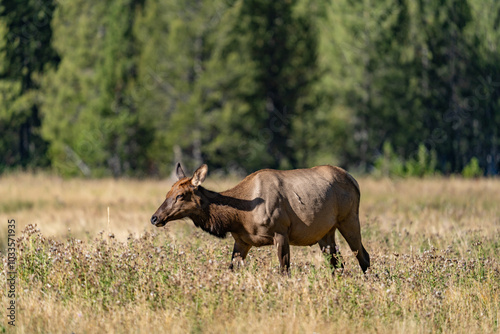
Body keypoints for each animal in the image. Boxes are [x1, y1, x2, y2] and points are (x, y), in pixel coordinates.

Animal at [150, 162, 370, 274]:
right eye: (168, 192)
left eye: (180, 195)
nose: (155, 217)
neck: (238, 217)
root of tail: (354, 180)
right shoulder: (242, 241)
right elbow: (231, 270)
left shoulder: (280, 232)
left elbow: (284, 270)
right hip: (325, 232)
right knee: (337, 263)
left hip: (349, 219)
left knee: (363, 256)